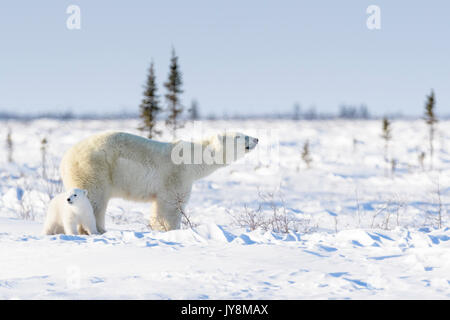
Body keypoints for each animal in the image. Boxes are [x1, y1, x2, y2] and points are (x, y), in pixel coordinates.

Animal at [59, 131, 258, 231]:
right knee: (94, 199)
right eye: (240, 136)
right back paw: (98, 229)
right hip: (94, 168)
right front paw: (171, 229)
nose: (256, 138)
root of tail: (66, 157)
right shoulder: (176, 174)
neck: (193, 158)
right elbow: (171, 205)